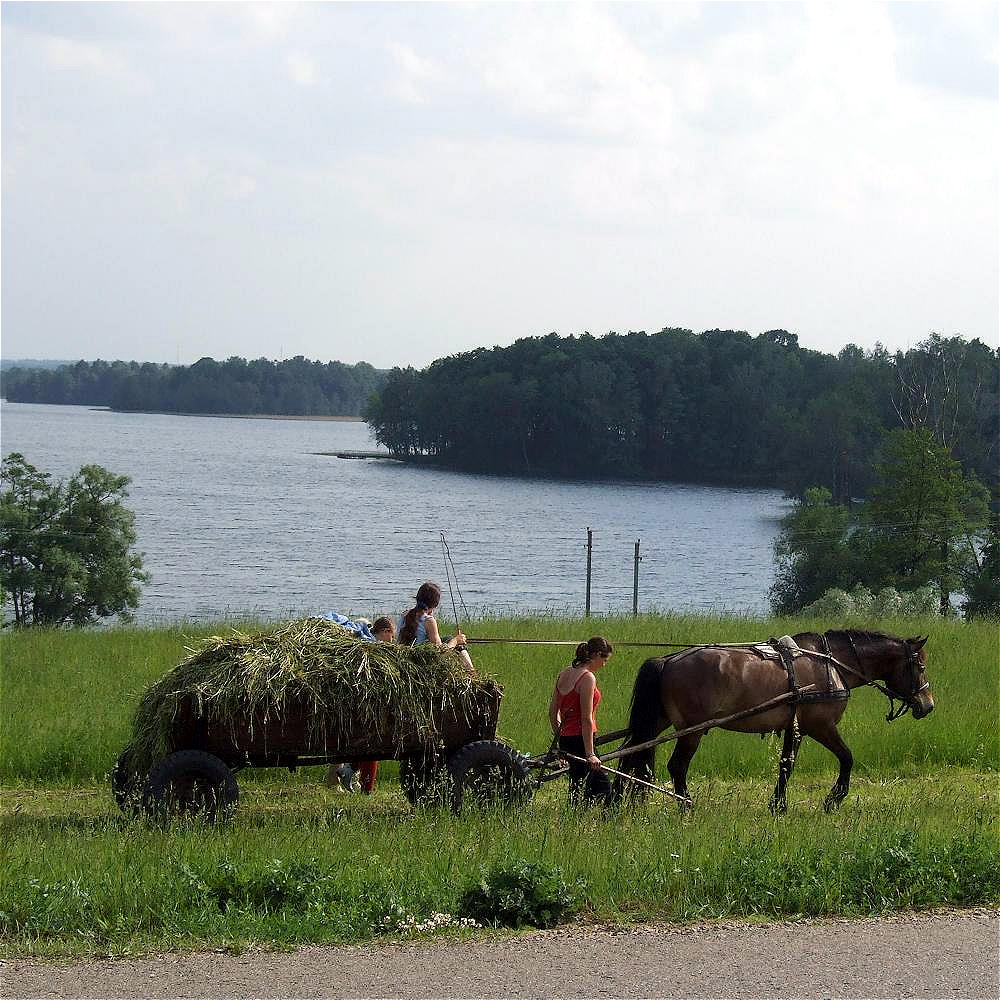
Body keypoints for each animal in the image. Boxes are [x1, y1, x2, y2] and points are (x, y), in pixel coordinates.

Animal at [620, 632, 932, 812]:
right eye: (920, 666)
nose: (928, 705)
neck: (831, 663)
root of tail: (668, 659)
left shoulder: (795, 728)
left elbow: (786, 766)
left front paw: (778, 805)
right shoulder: (821, 726)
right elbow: (847, 757)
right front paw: (834, 799)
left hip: (658, 722)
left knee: (634, 756)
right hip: (690, 731)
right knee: (677, 766)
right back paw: (687, 807)